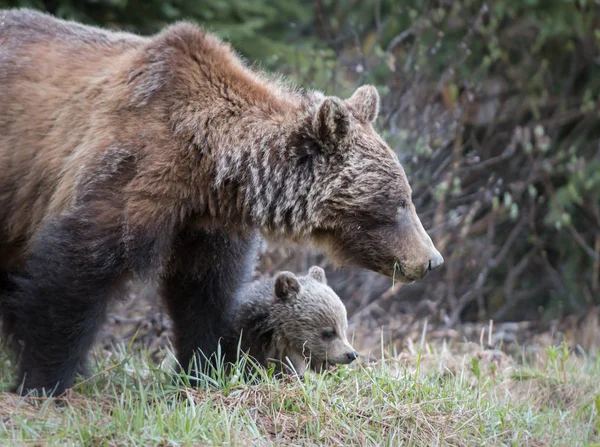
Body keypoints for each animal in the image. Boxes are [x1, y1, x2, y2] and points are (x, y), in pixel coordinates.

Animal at [0, 9, 440, 396]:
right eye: (400, 201)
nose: (432, 259)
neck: (208, 170)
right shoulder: (126, 173)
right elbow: (75, 273)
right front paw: (45, 380)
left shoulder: (205, 225)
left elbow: (205, 295)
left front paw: (206, 369)